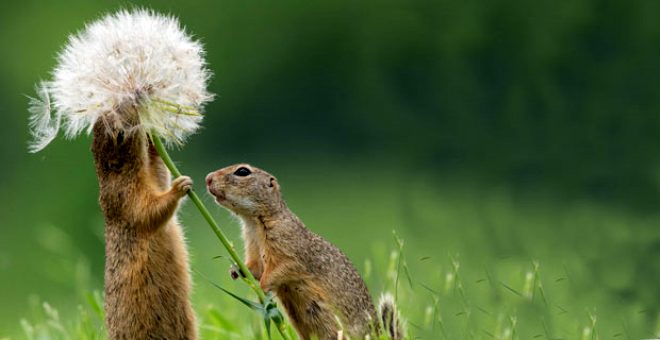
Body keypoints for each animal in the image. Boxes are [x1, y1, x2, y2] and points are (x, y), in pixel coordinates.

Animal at [91, 115, 197, 340]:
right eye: (120, 135)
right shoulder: (126, 197)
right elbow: (149, 210)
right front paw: (179, 186)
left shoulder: (151, 176)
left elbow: (159, 172)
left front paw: (152, 139)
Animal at [204, 163, 400, 338]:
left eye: (243, 171)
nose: (208, 178)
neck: (254, 223)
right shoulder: (252, 247)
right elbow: (255, 269)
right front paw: (236, 270)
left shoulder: (288, 248)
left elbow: (283, 268)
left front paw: (263, 288)